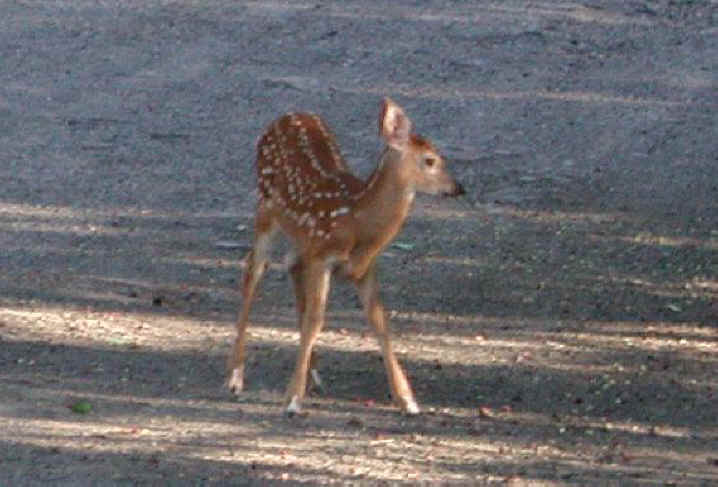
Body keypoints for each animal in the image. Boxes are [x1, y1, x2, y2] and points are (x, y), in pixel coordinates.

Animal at [227, 98, 464, 415]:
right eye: (430, 160)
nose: (458, 188)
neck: (357, 220)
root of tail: (287, 115)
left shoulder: (364, 268)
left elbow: (380, 322)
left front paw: (407, 399)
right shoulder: (322, 258)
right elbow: (315, 321)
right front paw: (292, 399)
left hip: (300, 237)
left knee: (291, 263)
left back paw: (314, 374)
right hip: (266, 207)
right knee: (254, 269)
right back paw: (236, 377)